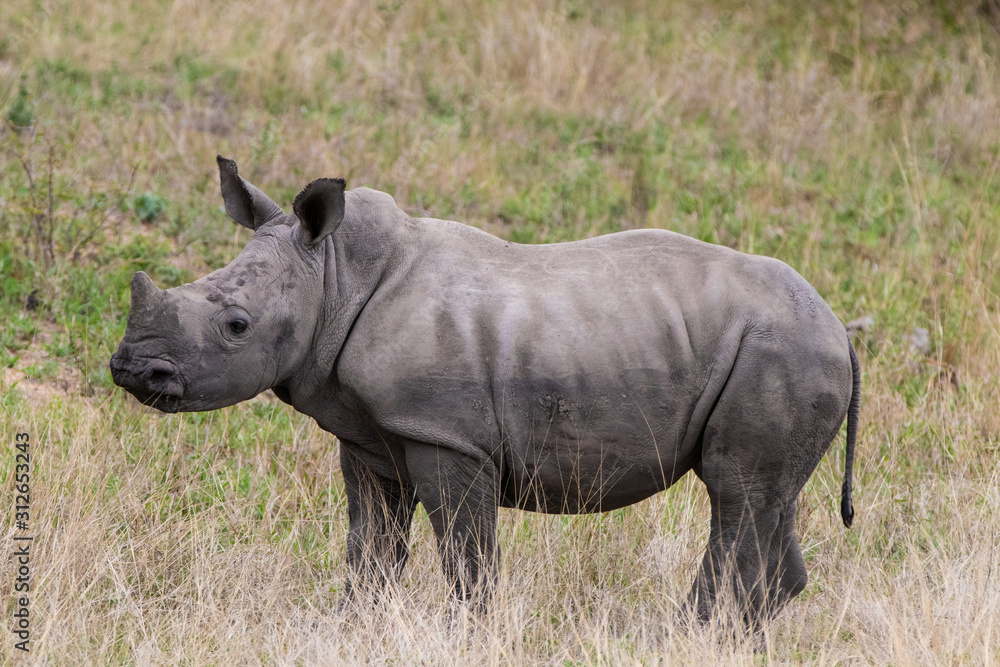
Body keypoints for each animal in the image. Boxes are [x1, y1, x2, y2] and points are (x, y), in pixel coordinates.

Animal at [110, 156, 860, 627]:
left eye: (236, 326)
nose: (131, 369)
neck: (335, 276)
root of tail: (840, 327)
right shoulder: (373, 436)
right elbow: (370, 546)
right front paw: (348, 628)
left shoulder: (448, 435)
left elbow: (467, 557)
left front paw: (462, 634)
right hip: (784, 352)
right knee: (767, 500)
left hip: (781, 351)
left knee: (736, 494)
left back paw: (680, 638)